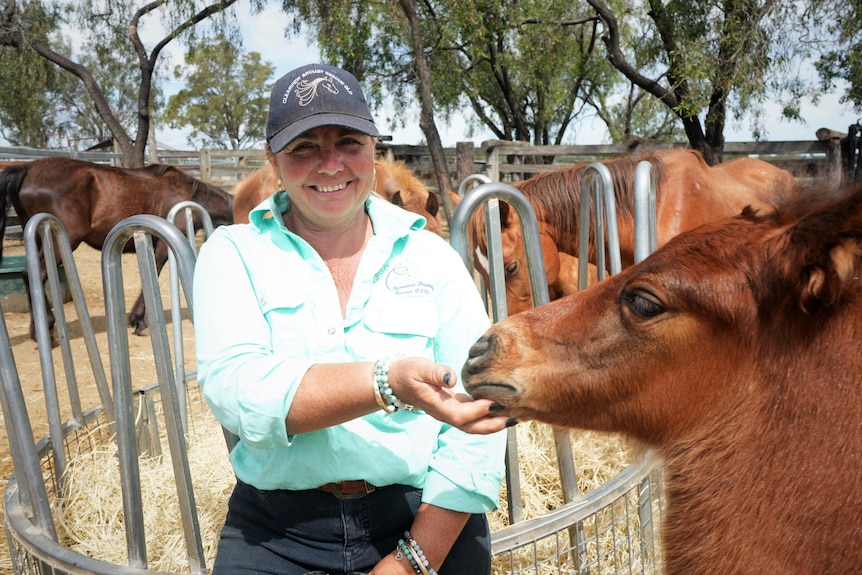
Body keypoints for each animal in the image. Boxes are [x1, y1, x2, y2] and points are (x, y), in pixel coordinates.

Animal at [0, 155, 235, 340]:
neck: (191, 197)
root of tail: (27, 168)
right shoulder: (162, 246)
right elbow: (154, 272)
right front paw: (138, 320)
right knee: (36, 274)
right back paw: (46, 328)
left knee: (28, 275)